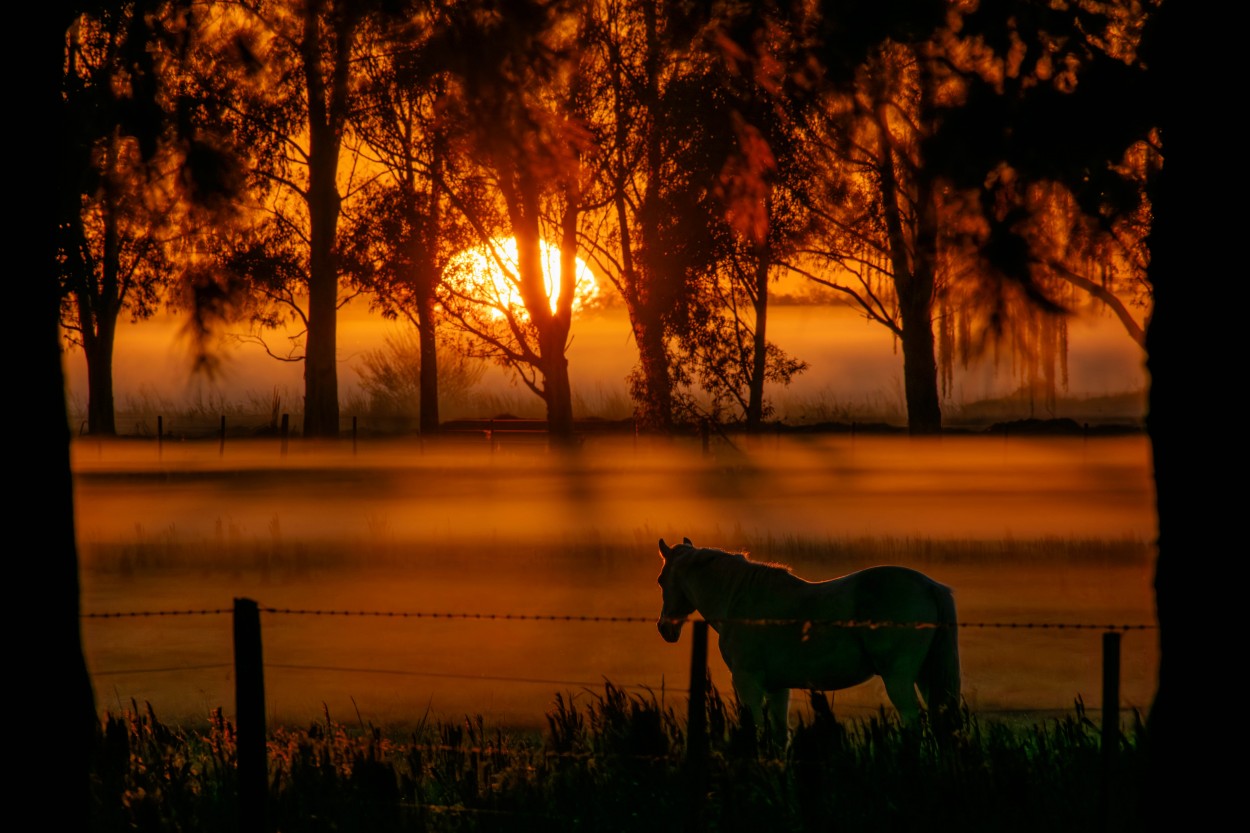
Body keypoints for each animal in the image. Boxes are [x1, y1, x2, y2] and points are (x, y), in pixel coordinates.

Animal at [660, 535, 960, 735]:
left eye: (661, 580)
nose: (664, 628)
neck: (739, 599)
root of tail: (929, 585)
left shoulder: (748, 681)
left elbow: (755, 731)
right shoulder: (777, 687)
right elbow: (779, 736)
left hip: (899, 677)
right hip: (926, 675)